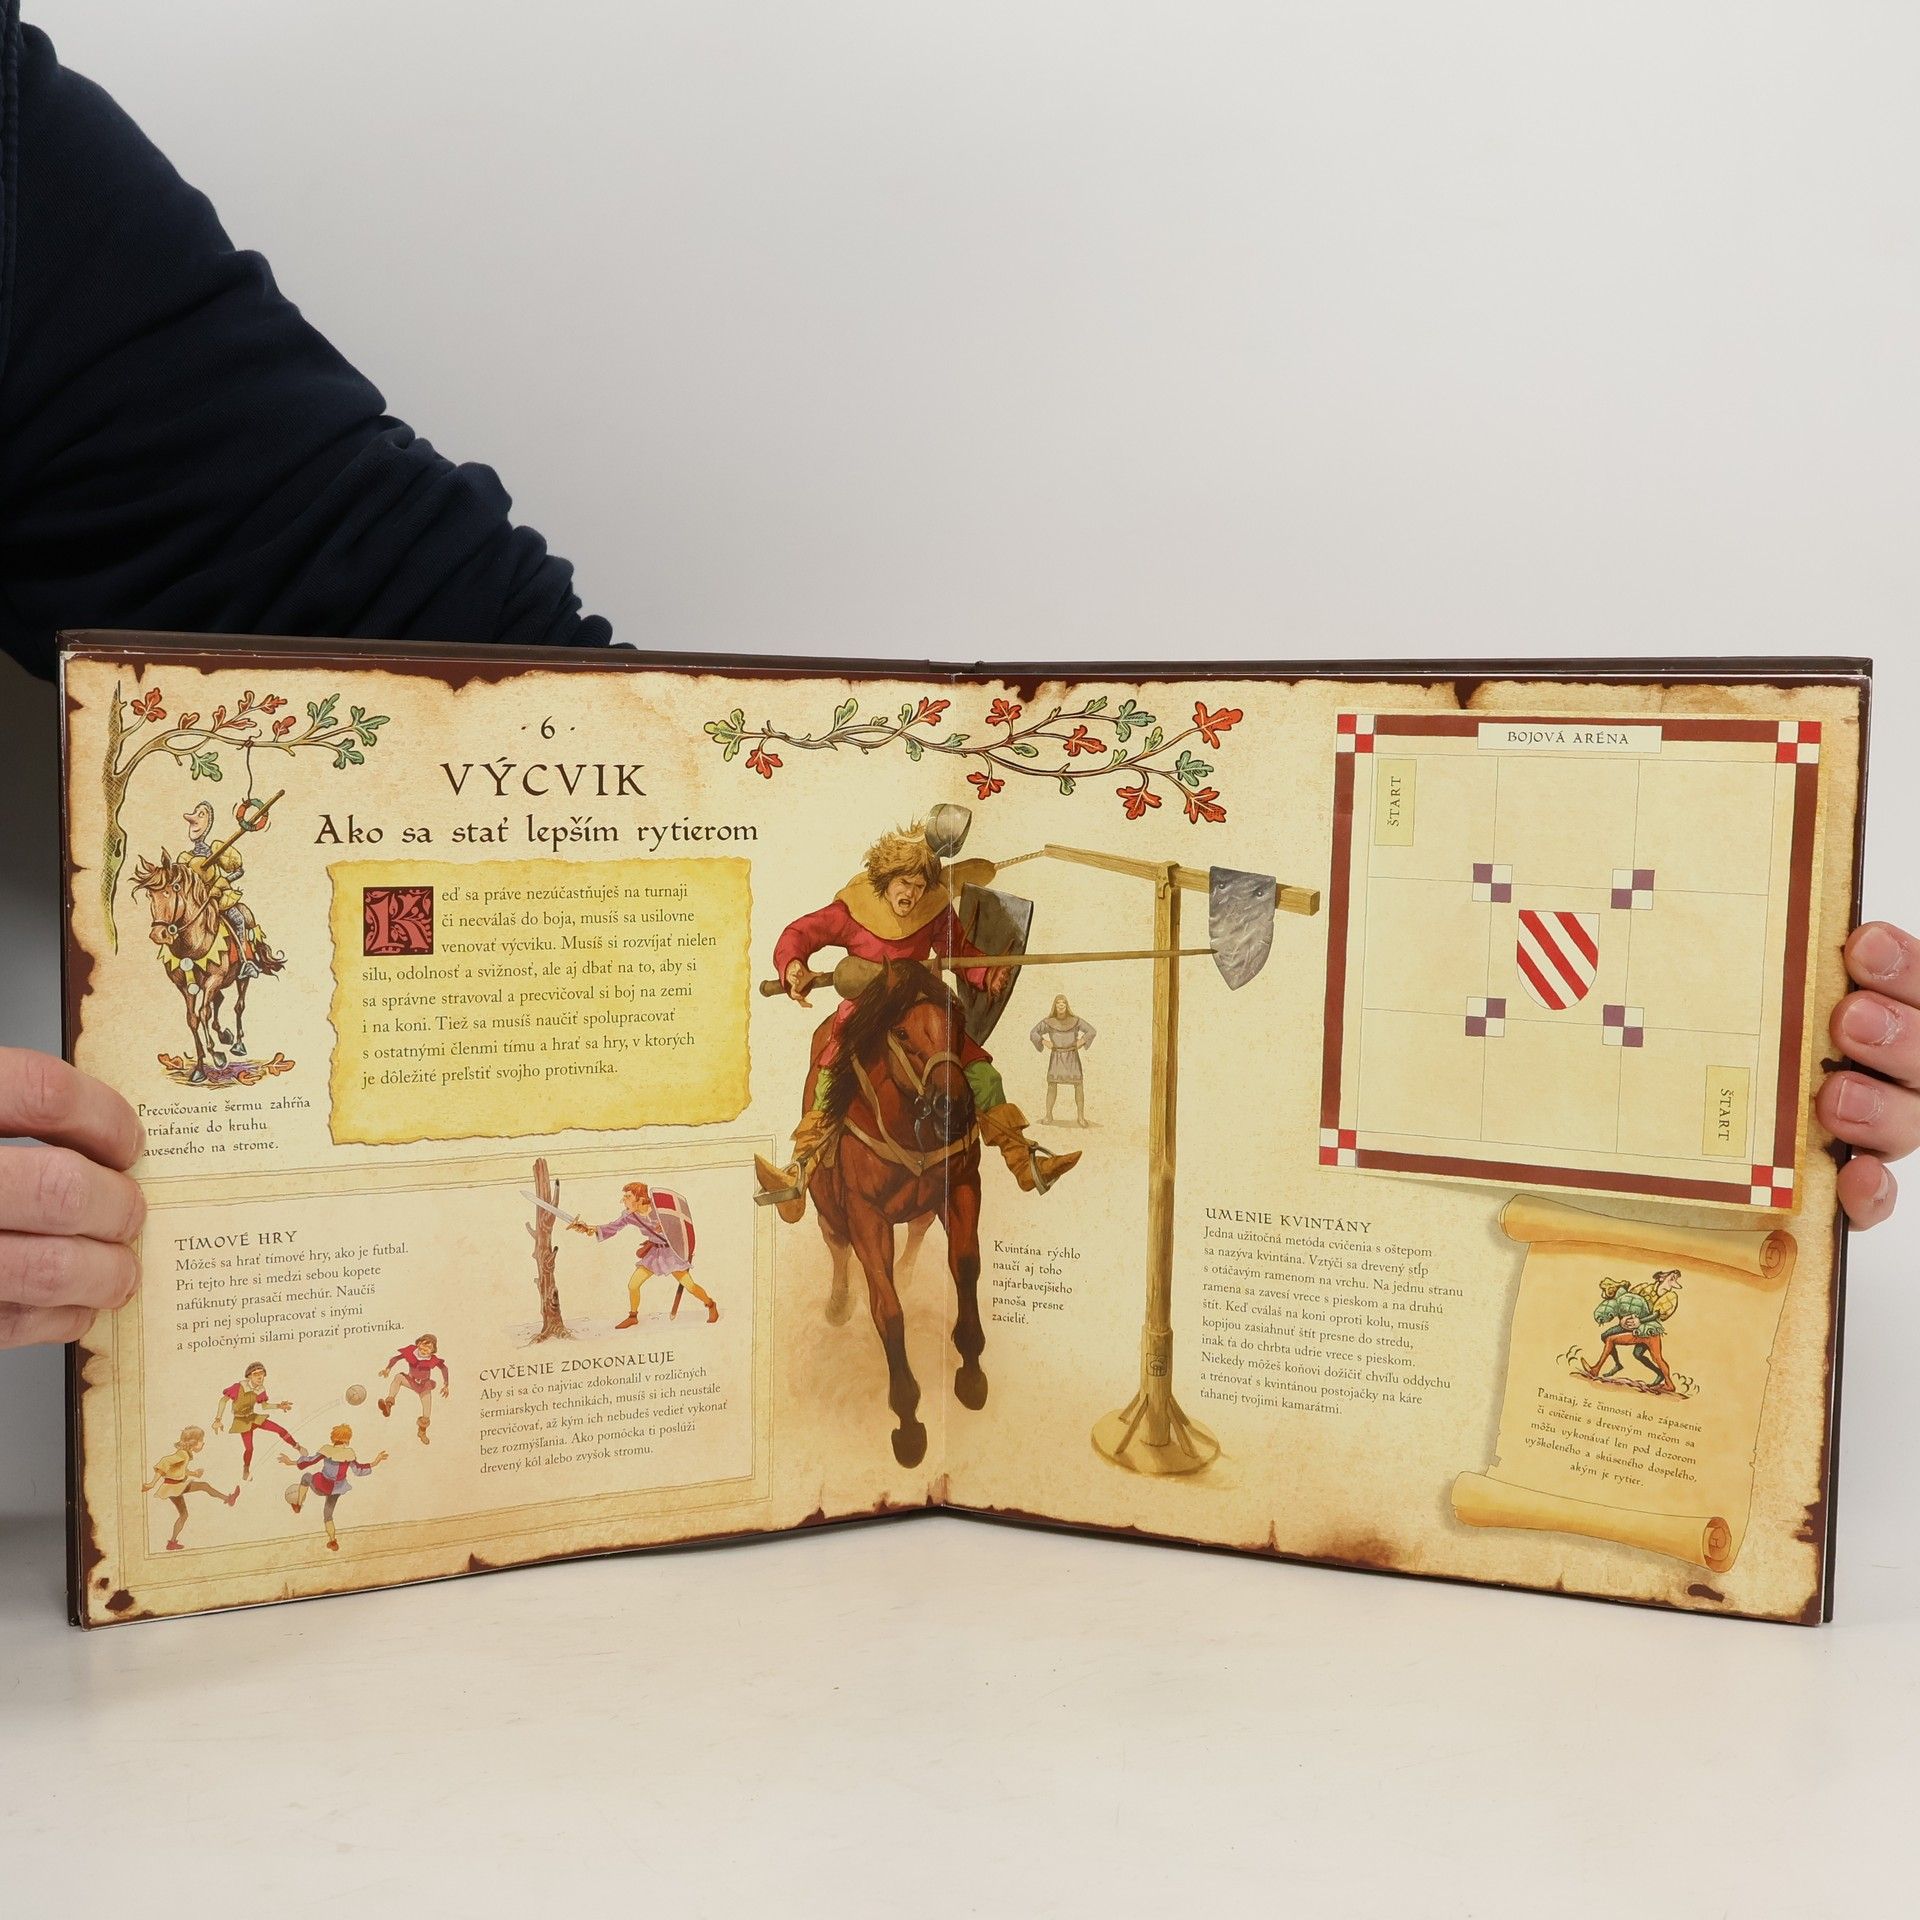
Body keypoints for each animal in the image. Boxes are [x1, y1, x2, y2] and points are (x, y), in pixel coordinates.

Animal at [129, 851, 266, 1082]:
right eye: (150, 895)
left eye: (173, 889)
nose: (158, 934)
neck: (193, 944)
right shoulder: (185, 986)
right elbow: (193, 1019)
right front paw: (200, 1068)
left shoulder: (214, 980)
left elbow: (203, 1013)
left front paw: (217, 1056)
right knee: (218, 1001)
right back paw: (224, 1034)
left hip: (240, 977)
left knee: (238, 1005)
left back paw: (237, 1043)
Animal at [807, 961, 986, 1468]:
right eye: (902, 1032)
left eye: (957, 1024)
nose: (955, 1106)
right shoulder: (866, 1216)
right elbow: (887, 1309)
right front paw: (908, 1422)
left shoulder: (962, 1187)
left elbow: (965, 1266)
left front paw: (970, 1370)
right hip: (830, 1204)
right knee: (835, 1241)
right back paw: (839, 1301)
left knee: (918, 1228)